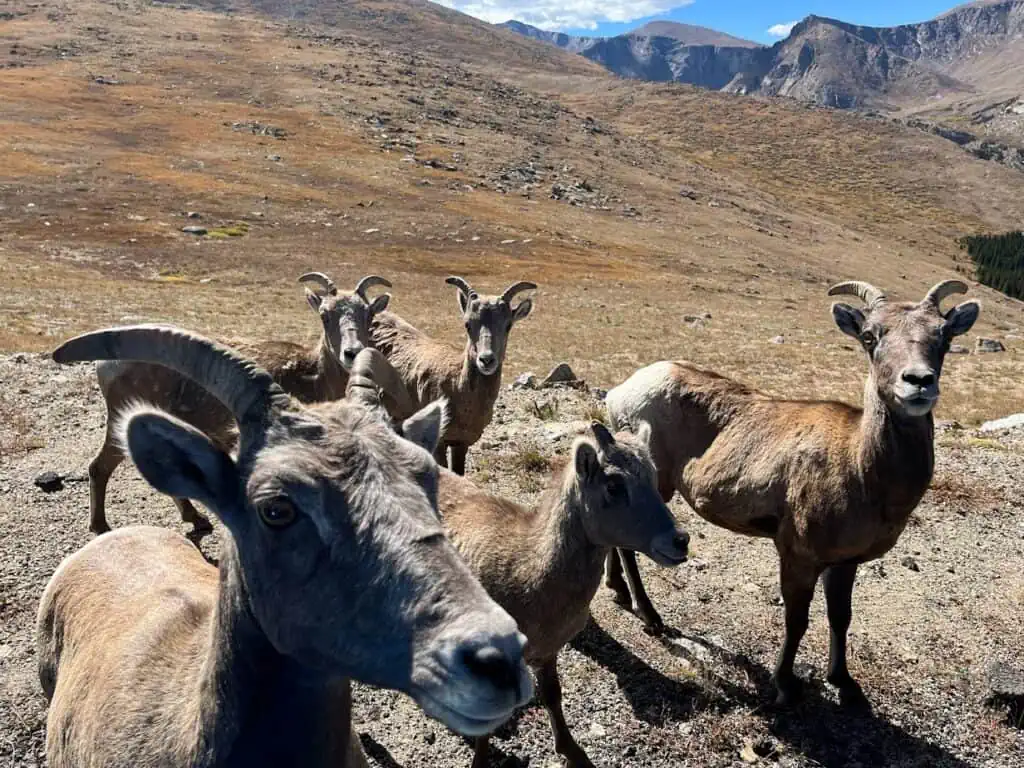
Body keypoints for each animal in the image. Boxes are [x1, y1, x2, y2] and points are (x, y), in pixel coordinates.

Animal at [84, 274, 395, 536]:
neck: (313, 376)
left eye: (369, 314)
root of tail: (105, 364)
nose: (351, 352)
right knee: (99, 467)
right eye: (324, 315)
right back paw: (102, 527)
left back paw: (196, 519)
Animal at [374, 274, 536, 479]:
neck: (458, 390)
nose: (486, 360)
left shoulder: (461, 443)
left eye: (508, 325)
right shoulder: (440, 442)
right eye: (467, 324)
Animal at [436, 423, 692, 765]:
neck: (526, 573)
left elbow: (552, 696)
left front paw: (572, 752)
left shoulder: (547, 652)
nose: (680, 541)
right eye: (614, 485)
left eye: (652, 476)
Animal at [602, 280, 978, 708]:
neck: (860, 467)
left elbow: (840, 618)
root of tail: (620, 393)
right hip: (656, 486)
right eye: (870, 336)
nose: (918, 382)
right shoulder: (797, 554)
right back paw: (651, 617)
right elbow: (797, 620)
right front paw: (785, 684)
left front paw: (844, 683)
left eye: (944, 336)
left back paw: (618, 592)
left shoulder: (845, 562)